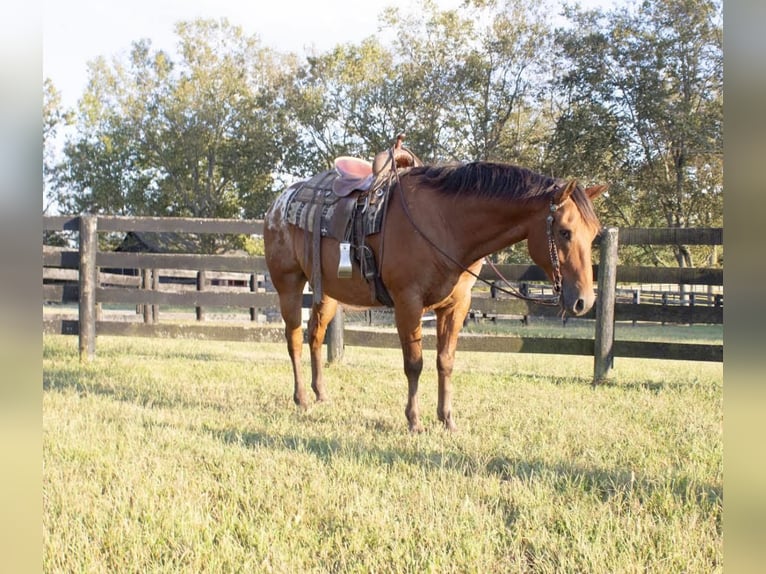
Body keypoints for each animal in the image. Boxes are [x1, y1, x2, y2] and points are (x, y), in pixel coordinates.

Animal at [264, 161, 608, 432]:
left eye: (593, 234)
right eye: (564, 232)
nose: (584, 301)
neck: (446, 224)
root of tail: (277, 205)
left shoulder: (456, 306)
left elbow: (446, 361)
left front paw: (447, 419)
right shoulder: (408, 303)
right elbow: (415, 363)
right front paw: (414, 420)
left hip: (328, 293)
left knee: (314, 336)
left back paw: (320, 393)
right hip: (289, 285)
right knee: (294, 339)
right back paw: (302, 399)